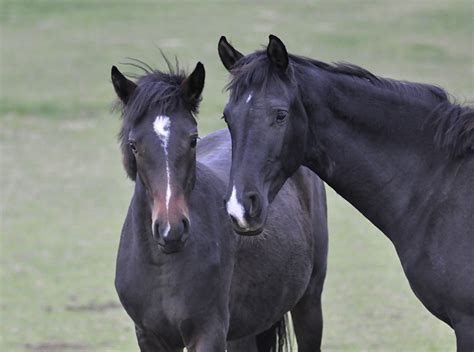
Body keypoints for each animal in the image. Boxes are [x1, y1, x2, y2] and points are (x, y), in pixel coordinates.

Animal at [110, 58, 328, 352]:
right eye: (133, 145)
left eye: (193, 139)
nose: (171, 230)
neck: (162, 265)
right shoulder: (149, 336)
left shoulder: (208, 334)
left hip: (309, 301)